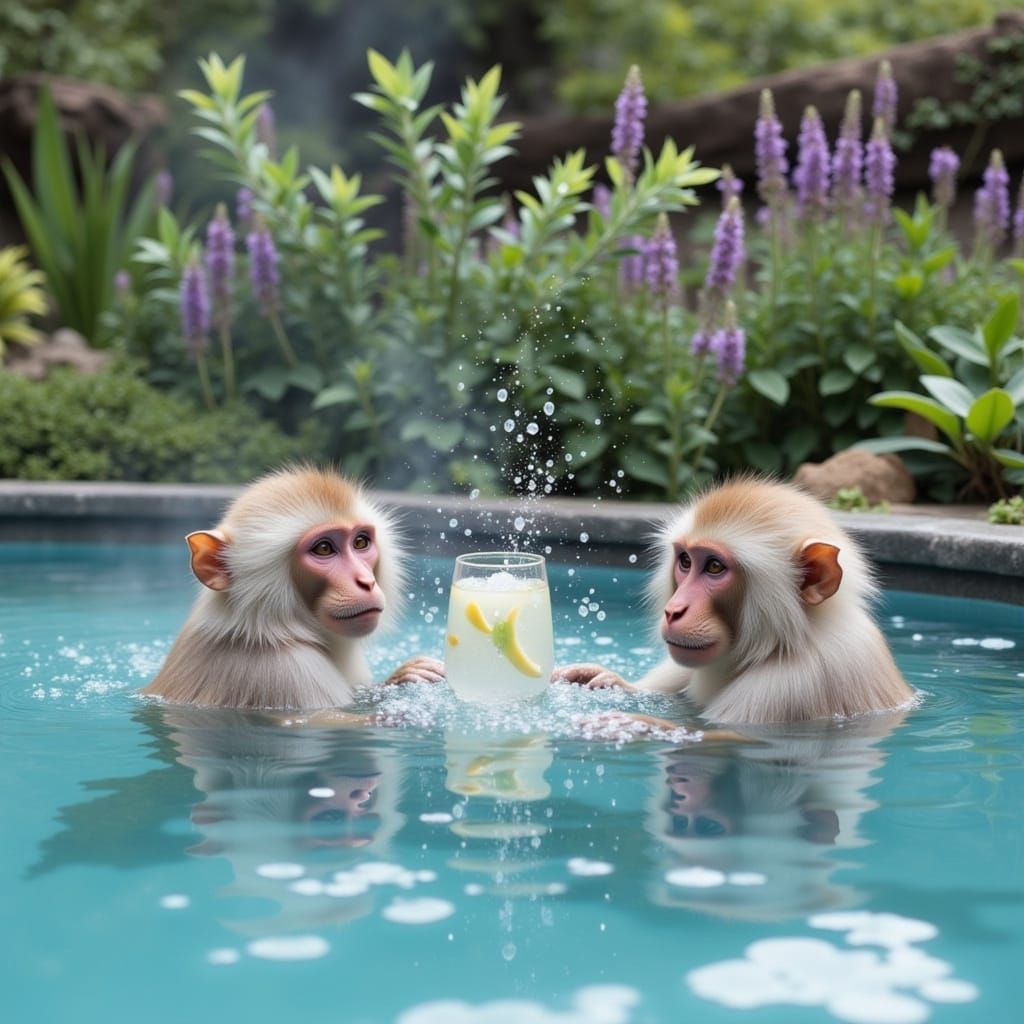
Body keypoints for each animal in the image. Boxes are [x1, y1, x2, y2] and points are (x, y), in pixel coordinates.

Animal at [556, 478, 914, 725]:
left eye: (715, 567)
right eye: (685, 561)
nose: (673, 610)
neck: (794, 637)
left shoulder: (788, 687)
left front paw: (631, 726)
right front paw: (605, 681)